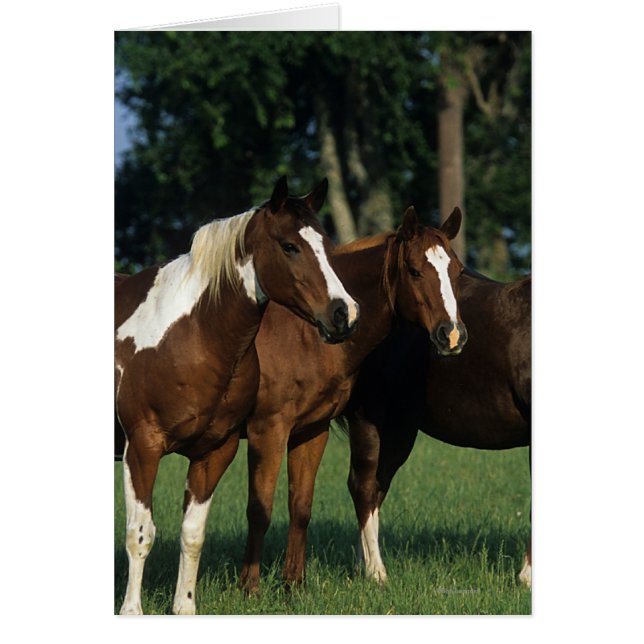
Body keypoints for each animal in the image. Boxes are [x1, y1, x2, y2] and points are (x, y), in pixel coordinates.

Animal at [115, 176, 359, 615]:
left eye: (327, 246)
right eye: (289, 246)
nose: (343, 313)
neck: (190, 332)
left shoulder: (215, 451)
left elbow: (192, 534)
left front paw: (184, 607)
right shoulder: (141, 447)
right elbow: (140, 534)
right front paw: (131, 611)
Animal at [236, 206, 468, 592]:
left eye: (457, 271)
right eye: (414, 270)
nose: (452, 335)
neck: (301, 335)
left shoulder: (310, 430)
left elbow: (300, 506)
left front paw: (293, 585)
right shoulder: (267, 431)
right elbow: (259, 509)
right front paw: (249, 588)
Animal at [343, 267, 531, 586]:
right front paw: (527, 577)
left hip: (398, 430)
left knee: (376, 489)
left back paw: (362, 568)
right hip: (367, 419)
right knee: (363, 487)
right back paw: (376, 573)